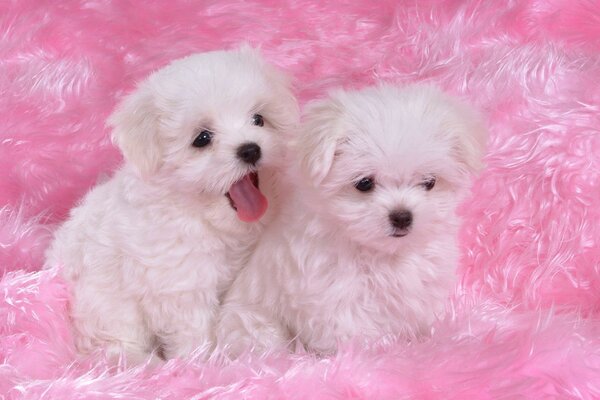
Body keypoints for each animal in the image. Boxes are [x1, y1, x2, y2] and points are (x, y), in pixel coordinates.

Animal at [47, 47, 298, 366]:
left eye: (258, 119)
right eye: (202, 139)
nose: (250, 149)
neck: (205, 218)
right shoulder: (181, 284)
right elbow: (196, 330)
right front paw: (204, 363)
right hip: (103, 307)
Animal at [218, 83, 486, 354]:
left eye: (429, 182)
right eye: (364, 184)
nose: (402, 216)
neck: (382, 254)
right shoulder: (333, 294)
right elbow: (350, 331)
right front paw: (364, 353)